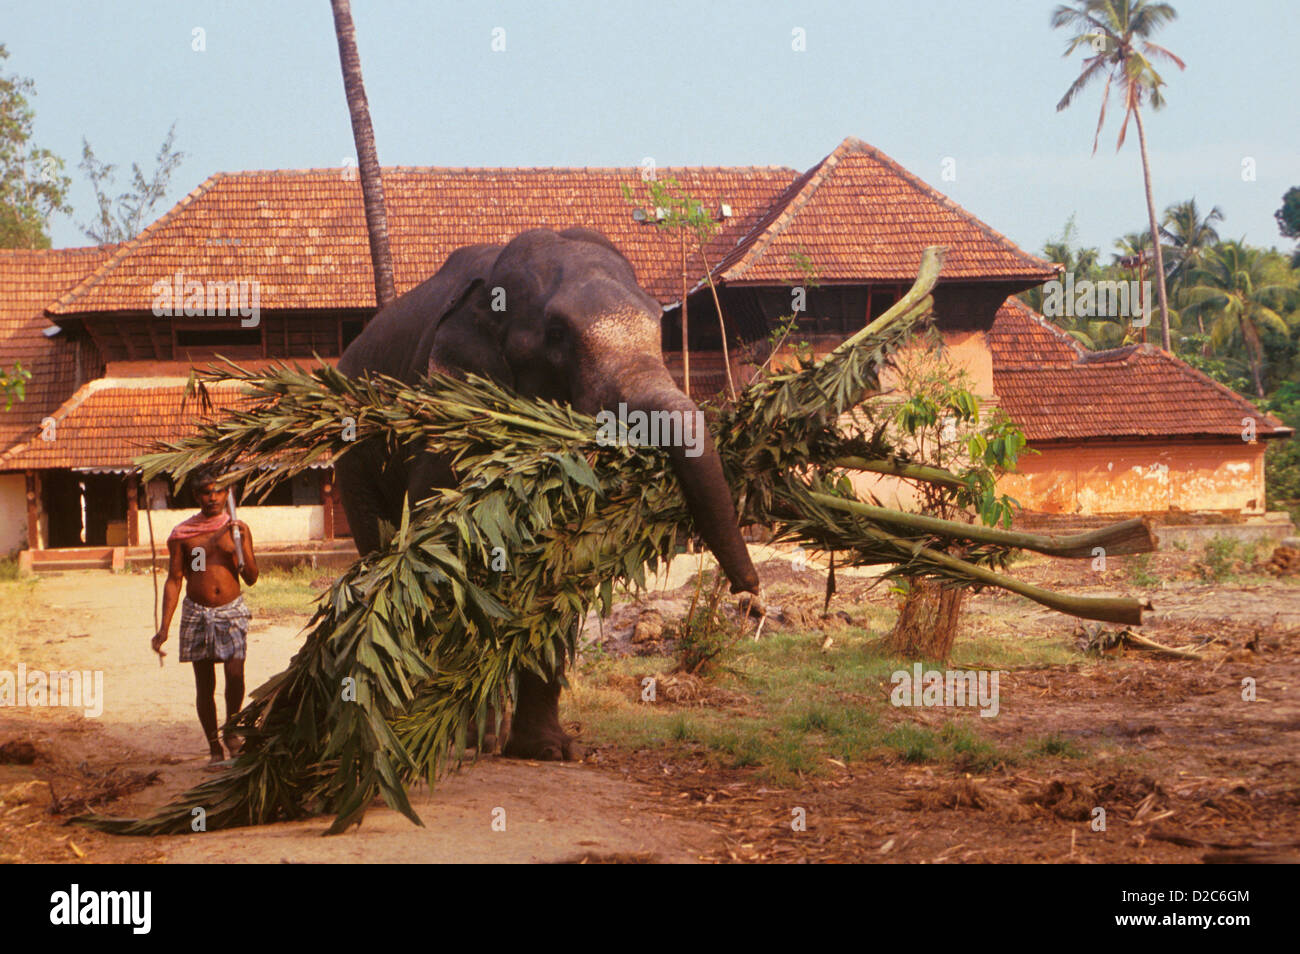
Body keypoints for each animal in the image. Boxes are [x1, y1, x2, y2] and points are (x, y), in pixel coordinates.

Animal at [336, 227, 761, 760]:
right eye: (557, 336)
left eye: (660, 325)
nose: (750, 593)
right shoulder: (448, 415)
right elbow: (444, 561)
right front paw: (449, 738)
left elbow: (562, 566)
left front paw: (552, 751)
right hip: (352, 458)